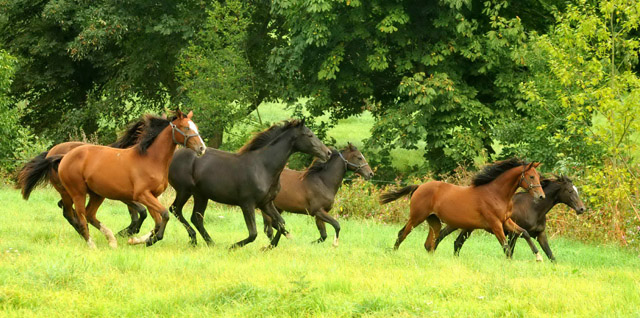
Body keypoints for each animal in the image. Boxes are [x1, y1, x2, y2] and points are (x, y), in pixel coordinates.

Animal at [17, 118, 149, 236]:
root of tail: (50, 153)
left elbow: (136, 214)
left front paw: (127, 232)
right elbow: (142, 211)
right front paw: (127, 232)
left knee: (65, 207)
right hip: (68, 190)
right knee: (67, 211)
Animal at [168, 118, 332, 248]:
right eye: (309, 135)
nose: (328, 153)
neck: (263, 167)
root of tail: (174, 156)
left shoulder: (266, 203)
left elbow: (280, 224)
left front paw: (269, 247)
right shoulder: (247, 204)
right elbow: (253, 233)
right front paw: (232, 247)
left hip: (201, 195)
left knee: (196, 218)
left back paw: (211, 243)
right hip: (184, 191)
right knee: (175, 210)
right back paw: (194, 239)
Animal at [378, 158, 548, 260]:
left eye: (538, 176)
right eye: (531, 177)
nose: (541, 196)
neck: (496, 194)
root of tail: (419, 187)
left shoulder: (505, 221)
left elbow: (524, 233)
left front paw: (538, 257)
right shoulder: (495, 224)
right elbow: (506, 246)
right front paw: (510, 262)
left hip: (434, 221)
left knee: (429, 243)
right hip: (416, 217)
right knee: (402, 233)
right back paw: (393, 253)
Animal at [436, 175, 584, 262]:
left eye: (576, 190)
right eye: (570, 191)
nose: (582, 209)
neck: (533, 208)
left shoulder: (540, 235)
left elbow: (551, 255)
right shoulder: (513, 235)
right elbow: (510, 252)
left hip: (468, 227)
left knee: (457, 242)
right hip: (458, 224)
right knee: (443, 236)